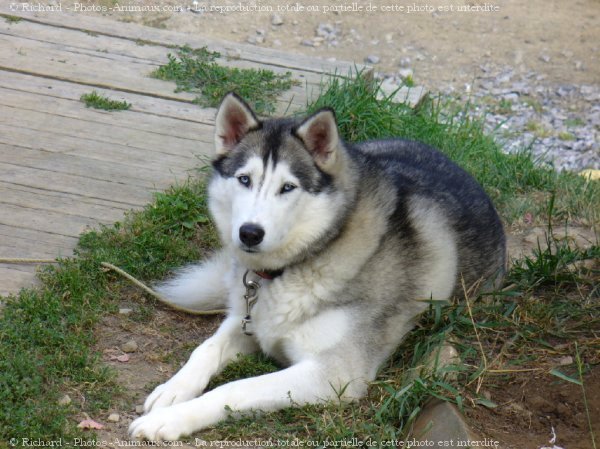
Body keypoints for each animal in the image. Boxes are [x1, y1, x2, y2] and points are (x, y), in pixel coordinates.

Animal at [131, 93, 506, 440]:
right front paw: (173, 390)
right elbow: (205, 349)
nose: (249, 232)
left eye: (288, 187)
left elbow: (236, 388)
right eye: (244, 179)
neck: (298, 263)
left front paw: (170, 419)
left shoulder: (334, 375)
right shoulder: (248, 320)